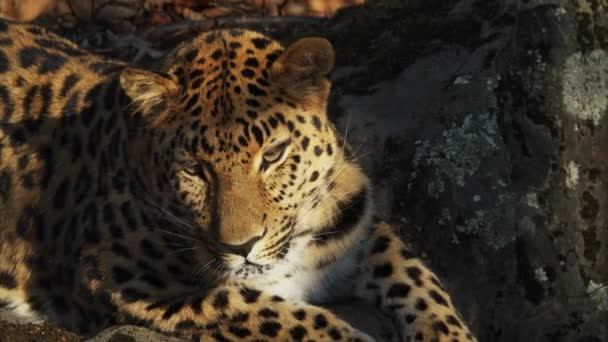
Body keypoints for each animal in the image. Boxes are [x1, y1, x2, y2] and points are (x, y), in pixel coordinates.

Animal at [0, 19, 478, 342]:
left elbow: (419, 280)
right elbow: (278, 314)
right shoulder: (120, 276)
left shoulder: (357, 223)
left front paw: (451, 332)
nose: (241, 246)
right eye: (194, 169)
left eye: (273, 155)